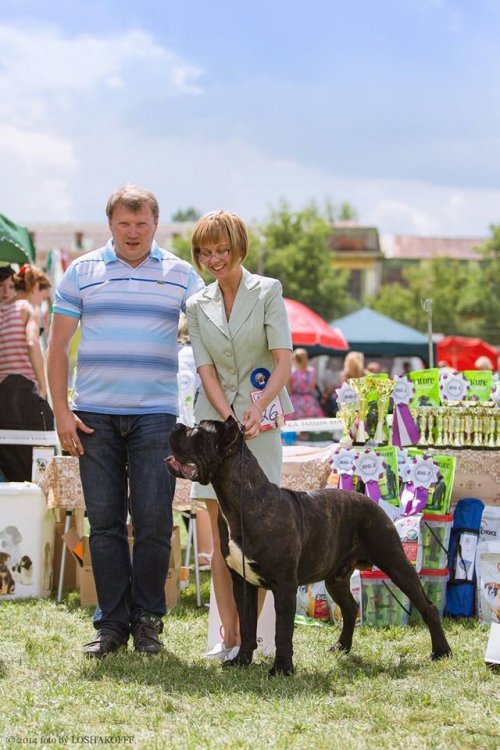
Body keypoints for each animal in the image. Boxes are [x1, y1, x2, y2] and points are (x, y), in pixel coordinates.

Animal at [166, 420, 452, 680]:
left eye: (197, 432)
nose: (177, 425)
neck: (240, 501)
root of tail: (372, 502)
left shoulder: (284, 585)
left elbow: (282, 630)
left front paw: (282, 669)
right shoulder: (243, 583)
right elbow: (247, 625)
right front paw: (241, 660)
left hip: (394, 561)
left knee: (427, 606)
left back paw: (441, 651)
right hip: (336, 577)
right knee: (350, 608)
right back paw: (341, 647)